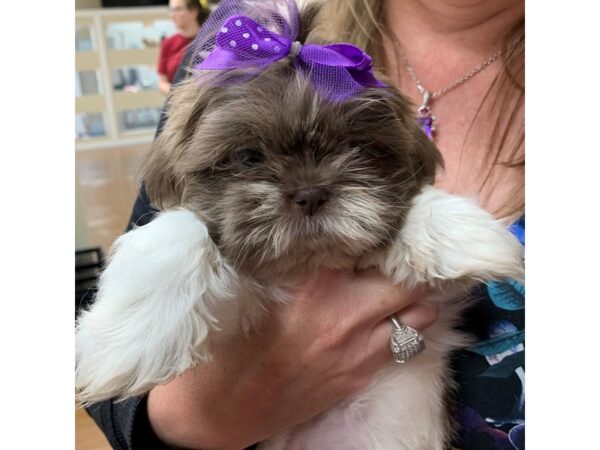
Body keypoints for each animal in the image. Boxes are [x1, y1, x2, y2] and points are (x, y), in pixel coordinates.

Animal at [76, 1, 524, 448]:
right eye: (249, 156)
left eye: (357, 148)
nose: (310, 192)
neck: (306, 266)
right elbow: (178, 231)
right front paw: (129, 341)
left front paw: (459, 234)